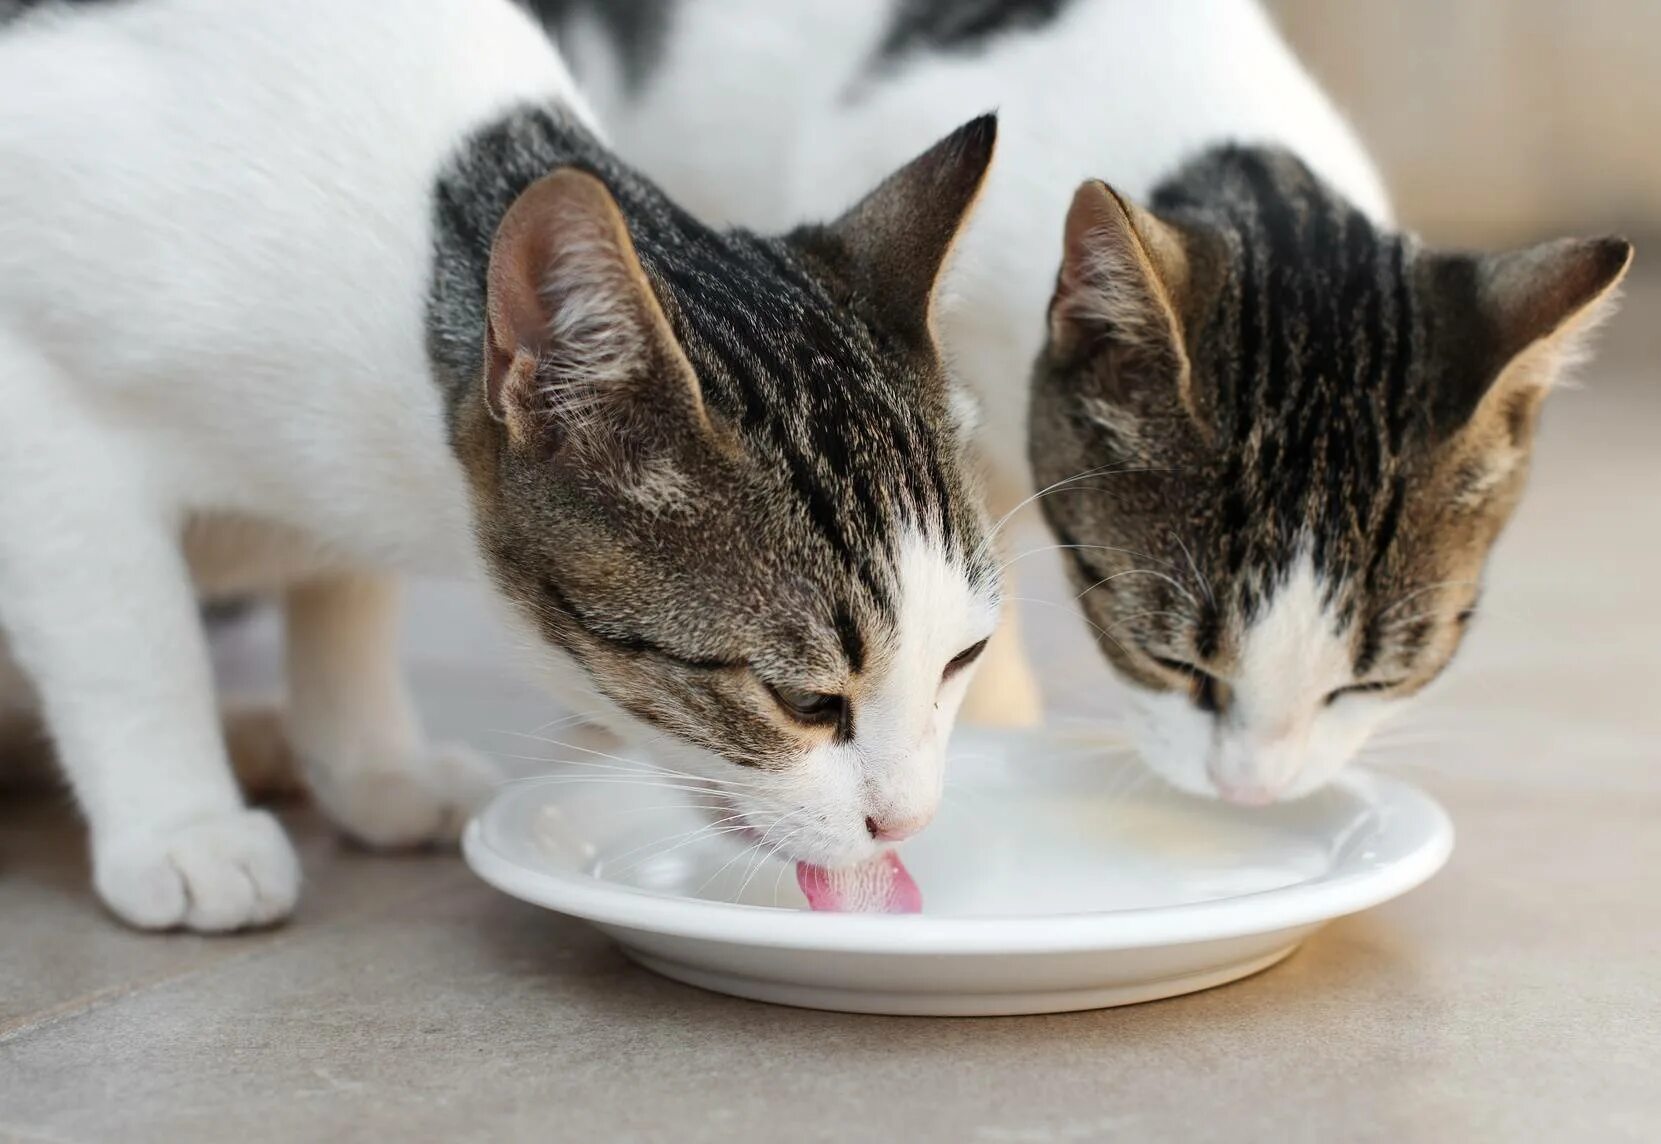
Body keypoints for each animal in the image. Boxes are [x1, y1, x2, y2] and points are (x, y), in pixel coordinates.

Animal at [0, 0, 996, 929]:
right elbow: (129, 640)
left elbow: (343, 601)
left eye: (963, 658)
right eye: (804, 701)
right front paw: (183, 827)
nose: (909, 822)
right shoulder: (42, 414)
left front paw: (373, 763)